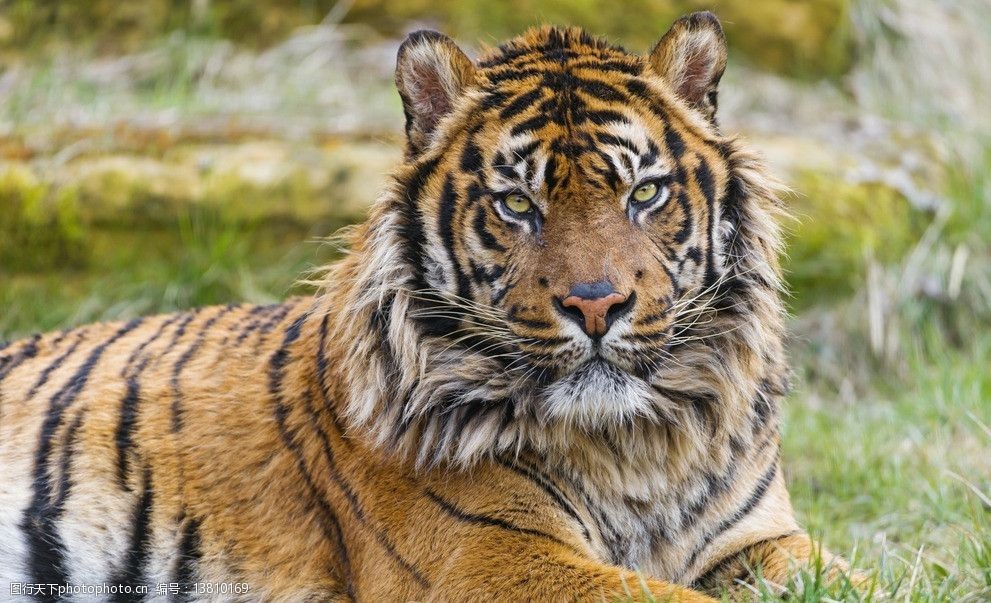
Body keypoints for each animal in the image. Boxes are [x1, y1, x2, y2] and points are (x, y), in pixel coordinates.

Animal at [0, 10, 860, 603]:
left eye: (643, 194)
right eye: (517, 204)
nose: (596, 305)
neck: (636, 445)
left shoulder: (762, 538)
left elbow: (866, 577)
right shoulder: (488, 557)